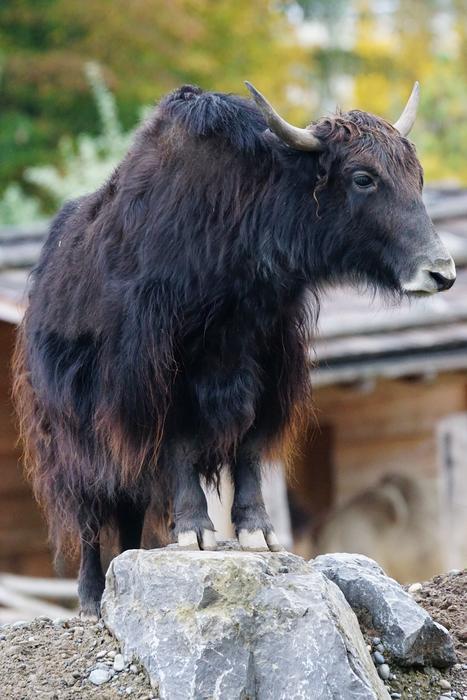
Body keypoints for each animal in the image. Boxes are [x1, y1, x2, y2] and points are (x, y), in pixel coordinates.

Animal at [13, 81, 456, 616]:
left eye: (417, 175)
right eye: (363, 178)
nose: (441, 273)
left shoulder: (268, 367)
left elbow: (249, 444)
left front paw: (257, 533)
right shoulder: (164, 376)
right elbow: (181, 444)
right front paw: (196, 532)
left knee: (129, 505)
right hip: (70, 440)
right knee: (90, 512)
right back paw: (93, 596)